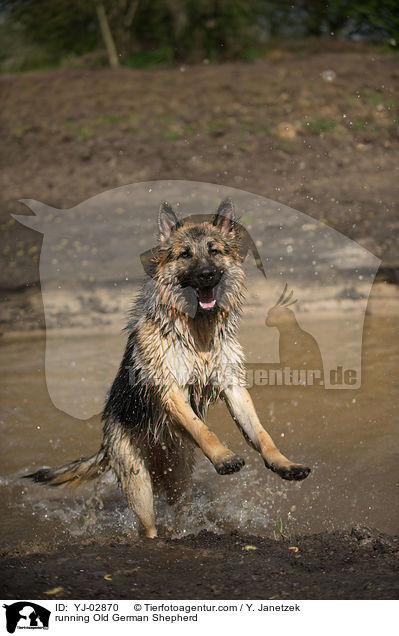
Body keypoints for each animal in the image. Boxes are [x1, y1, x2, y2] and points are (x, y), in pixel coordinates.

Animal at [25, 199, 312, 536]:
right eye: (185, 254)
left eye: (214, 251)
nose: (206, 274)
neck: (198, 330)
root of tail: (105, 439)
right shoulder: (170, 387)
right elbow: (202, 428)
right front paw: (224, 457)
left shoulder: (233, 387)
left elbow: (261, 433)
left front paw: (283, 463)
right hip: (139, 484)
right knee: (149, 526)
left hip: (180, 479)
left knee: (178, 510)